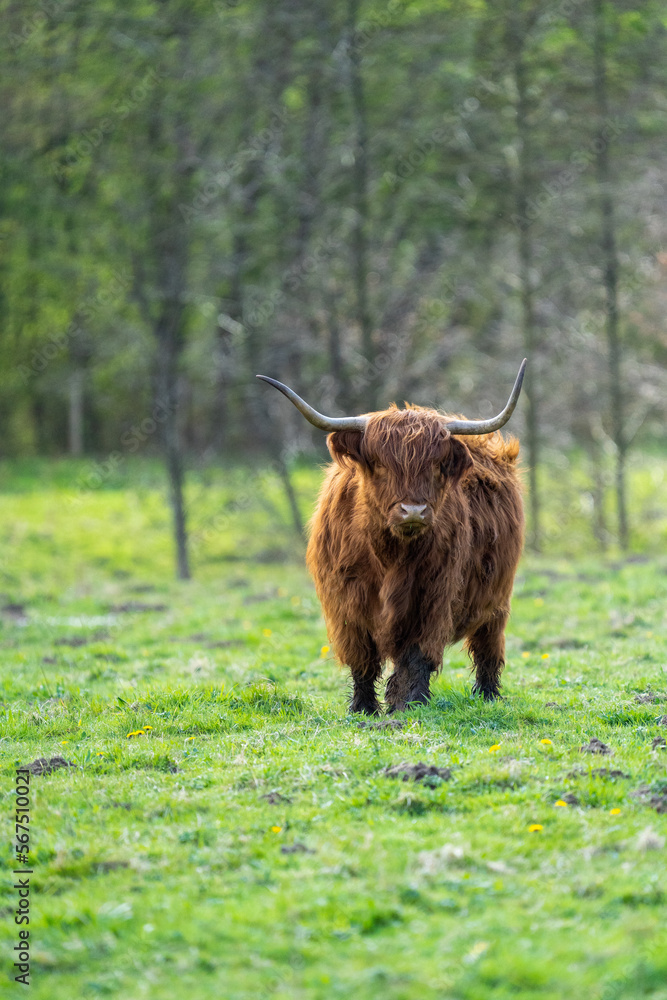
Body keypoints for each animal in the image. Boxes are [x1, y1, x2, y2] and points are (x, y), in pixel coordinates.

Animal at [257, 361, 526, 714]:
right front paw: (363, 707)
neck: (389, 556)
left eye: (436, 466)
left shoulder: (431, 597)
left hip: (497, 597)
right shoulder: (347, 603)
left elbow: (416, 655)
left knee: (488, 648)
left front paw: (408, 703)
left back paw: (488, 695)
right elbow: (362, 658)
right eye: (380, 465)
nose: (413, 510)